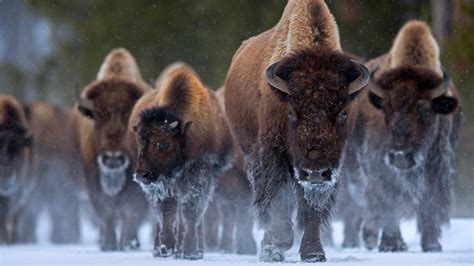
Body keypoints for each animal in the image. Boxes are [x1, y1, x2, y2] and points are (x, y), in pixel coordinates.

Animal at [73, 48, 150, 251]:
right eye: (96, 117)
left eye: (130, 116)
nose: (113, 157)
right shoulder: (93, 177)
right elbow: (105, 209)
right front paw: (108, 244)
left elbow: (131, 210)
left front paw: (128, 243)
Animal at [130, 62, 233, 260]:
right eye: (139, 141)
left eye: (162, 144)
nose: (142, 175)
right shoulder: (163, 185)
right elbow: (167, 212)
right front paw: (166, 247)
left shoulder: (199, 175)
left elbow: (190, 211)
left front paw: (190, 252)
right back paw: (161, 249)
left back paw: (194, 250)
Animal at [224, 0, 368, 262]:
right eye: (291, 112)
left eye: (343, 113)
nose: (316, 171)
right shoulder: (273, 154)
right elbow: (278, 198)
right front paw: (278, 244)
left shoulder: (329, 169)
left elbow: (312, 207)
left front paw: (314, 253)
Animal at [338, 21, 462, 254]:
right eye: (386, 110)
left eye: (425, 110)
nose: (401, 156)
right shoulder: (381, 167)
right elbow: (388, 200)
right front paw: (391, 244)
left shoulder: (436, 168)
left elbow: (430, 203)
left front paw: (432, 245)